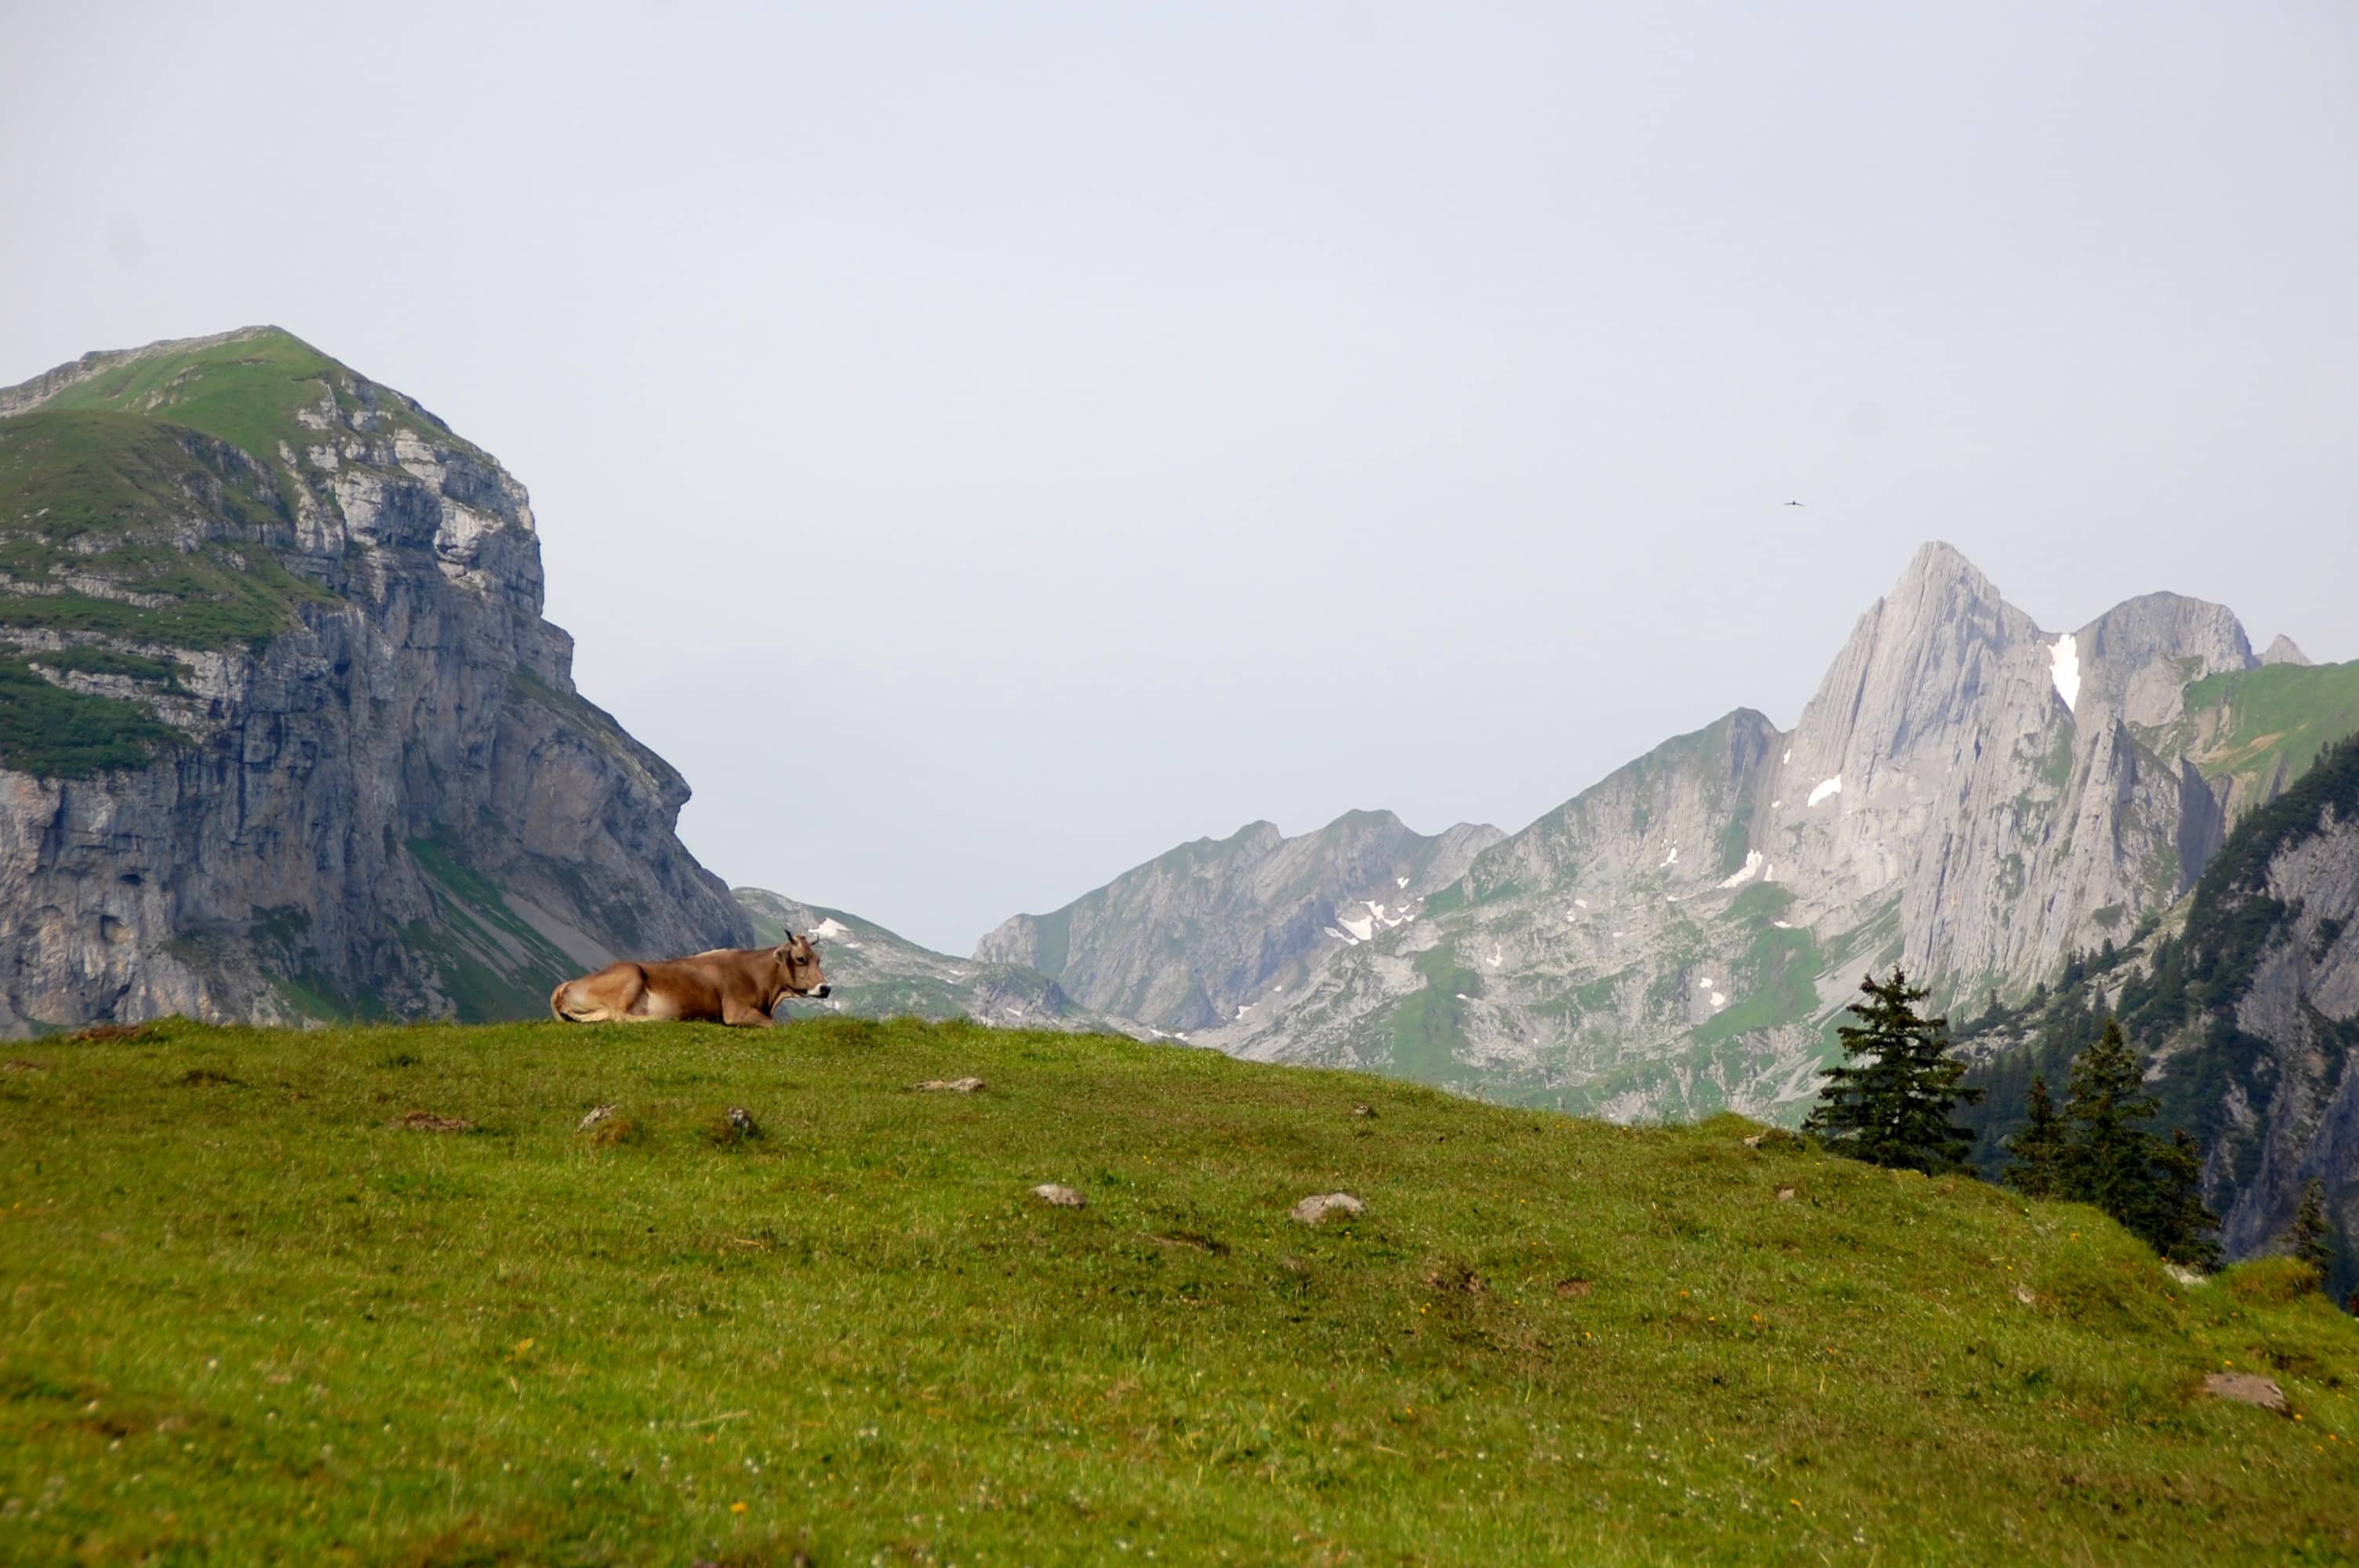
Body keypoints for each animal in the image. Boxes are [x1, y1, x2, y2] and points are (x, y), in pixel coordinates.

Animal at [549, 928, 830, 1028]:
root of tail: (566, 985)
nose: (825, 988)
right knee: (618, 1015)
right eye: (801, 959)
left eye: (818, 959)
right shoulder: (735, 1011)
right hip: (631, 974)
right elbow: (772, 1025)